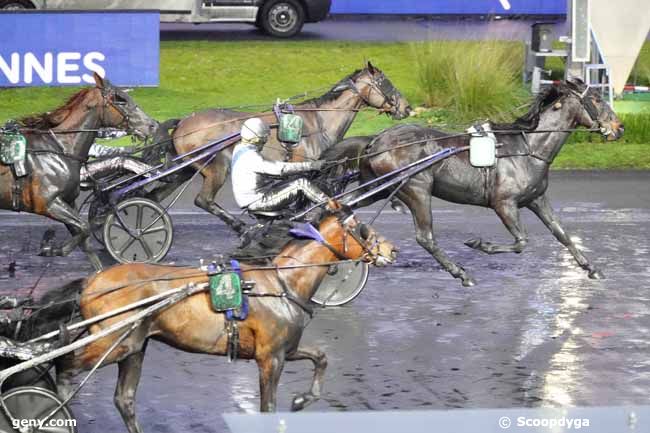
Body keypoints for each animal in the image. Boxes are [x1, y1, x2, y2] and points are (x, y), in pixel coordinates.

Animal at [0, 74, 157, 270]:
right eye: (120, 99)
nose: (153, 125)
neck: (59, 149)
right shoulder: (47, 203)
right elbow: (85, 227)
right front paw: (50, 248)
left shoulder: (68, 201)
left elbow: (85, 241)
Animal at [55, 201, 398, 430]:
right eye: (363, 228)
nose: (391, 250)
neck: (281, 284)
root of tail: (91, 281)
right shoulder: (270, 358)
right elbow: (268, 407)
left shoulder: (284, 349)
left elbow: (321, 357)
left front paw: (302, 399)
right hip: (114, 341)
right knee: (65, 364)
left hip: (135, 346)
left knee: (124, 399)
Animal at [149, 61, 408, 233]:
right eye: (385, 83)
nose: (405, 107)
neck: (318, 121)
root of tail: (184, 122)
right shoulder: (305, 168)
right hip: (217, 167)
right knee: (203, 200)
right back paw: (239, 225)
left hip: (186, 169)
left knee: (157, 193)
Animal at [330, 78, 624, 286]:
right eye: (597, 99)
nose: (619, 128)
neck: (527, 147)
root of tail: (376, 140)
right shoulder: (504, 203)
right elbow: (521, 242)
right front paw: (480, 245)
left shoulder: (536, 199)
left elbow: (561, 233)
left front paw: (592, 268)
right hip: (416, 190)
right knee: (425, 237)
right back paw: (461, 274)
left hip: (378, 188)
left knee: (343, 207)